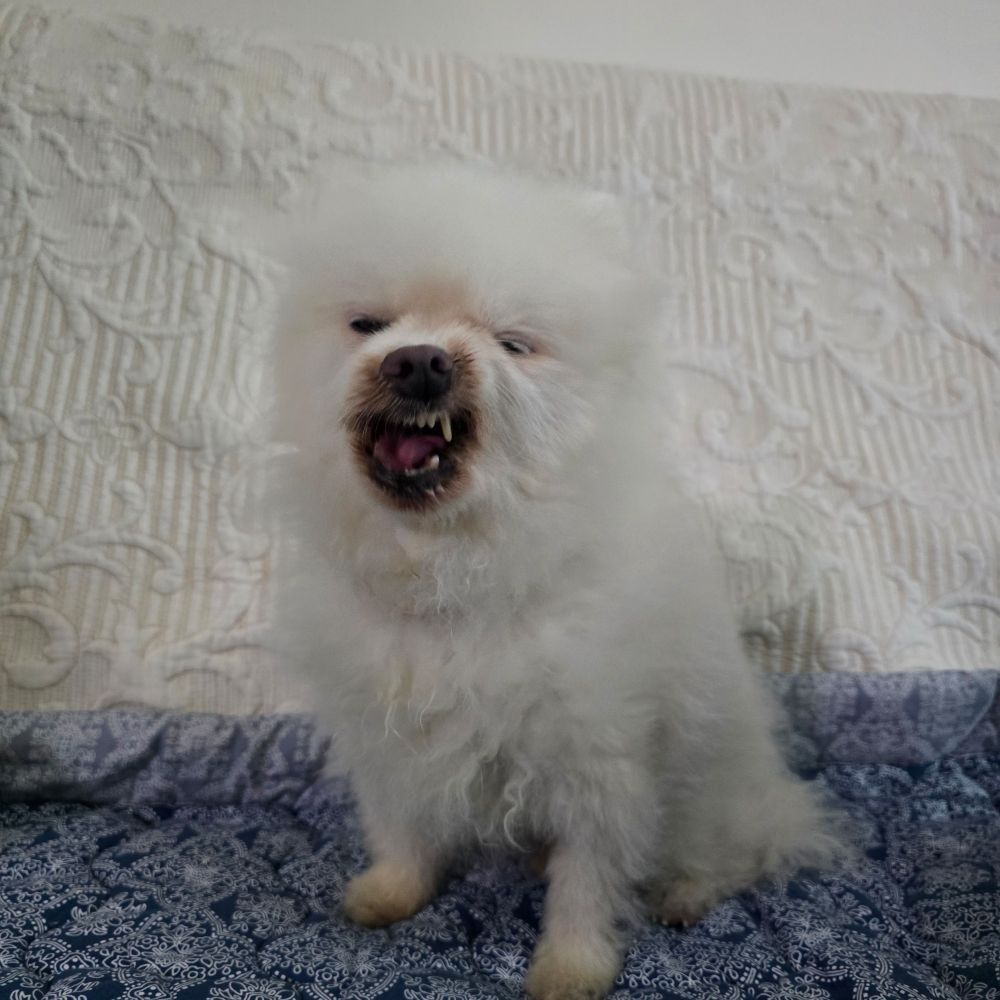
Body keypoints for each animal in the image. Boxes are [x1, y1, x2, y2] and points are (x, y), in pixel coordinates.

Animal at [269, 164, 841, 1000]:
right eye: (368, 324)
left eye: (512, 343)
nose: (418, 361)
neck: (459, 570)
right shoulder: (388, 735)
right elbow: (402, 829)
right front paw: (390, 893)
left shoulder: (598, 757)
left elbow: (588, 881)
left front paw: (571, 967)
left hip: (713, 789)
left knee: (726, 853)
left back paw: (684, 892)